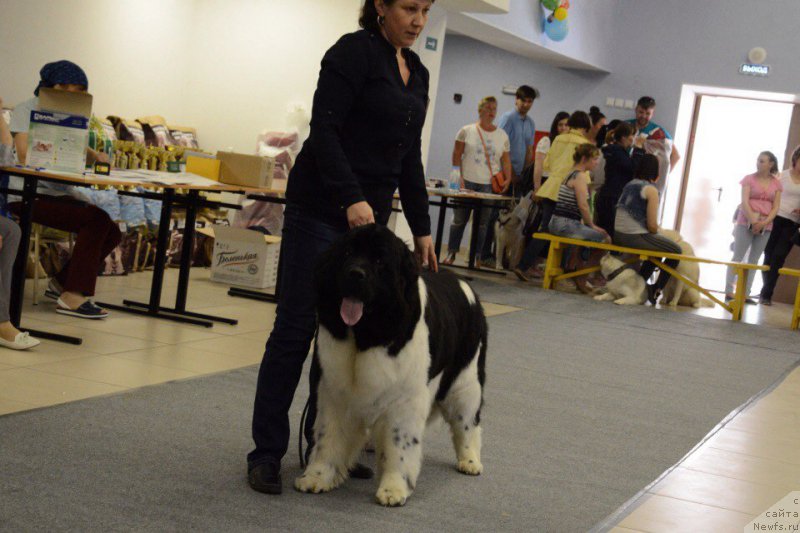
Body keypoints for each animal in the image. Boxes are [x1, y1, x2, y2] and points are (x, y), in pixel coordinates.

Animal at [296, 224, 488, 508]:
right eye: (348, 253)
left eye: (379, 262)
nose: (355, 273)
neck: (365, 335)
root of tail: (464, 284)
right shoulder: (334, 393)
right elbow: (328, 437)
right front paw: (317, 476)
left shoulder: (404, 401)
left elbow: (399, 446)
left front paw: (393, 489)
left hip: (466, 381)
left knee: (467, 422)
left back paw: (470, 461)